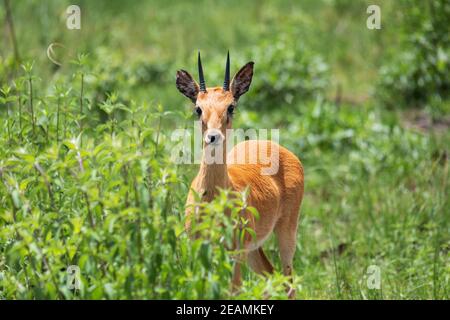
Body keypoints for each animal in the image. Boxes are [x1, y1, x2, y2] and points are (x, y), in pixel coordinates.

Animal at [174, 52, 304, 296]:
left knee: (289, 282)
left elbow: (233, 289)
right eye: (198, 108)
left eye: (231, 107)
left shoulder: (235, 254)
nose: (213, 136)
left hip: (286, 233)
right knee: (272, 276)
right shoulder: (199, 248)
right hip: (254, 250)